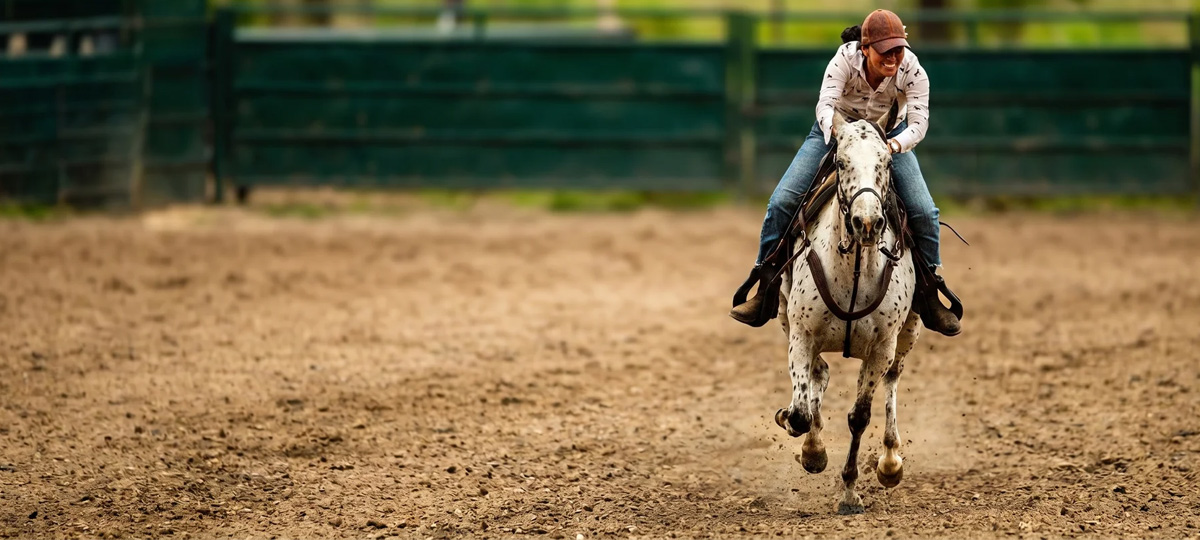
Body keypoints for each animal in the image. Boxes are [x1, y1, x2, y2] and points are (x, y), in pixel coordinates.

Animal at [774, 113, 923, 515]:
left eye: (886, 162)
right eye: (840, 162)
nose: (867, 223)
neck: (854, 271)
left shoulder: (882, 347)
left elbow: (859, 417)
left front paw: (851, 494)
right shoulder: (801, 335)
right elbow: (800, 412)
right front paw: (811, 451)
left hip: (907, 336)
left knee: (891, 382)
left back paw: (890, 462)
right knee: (818, 376)